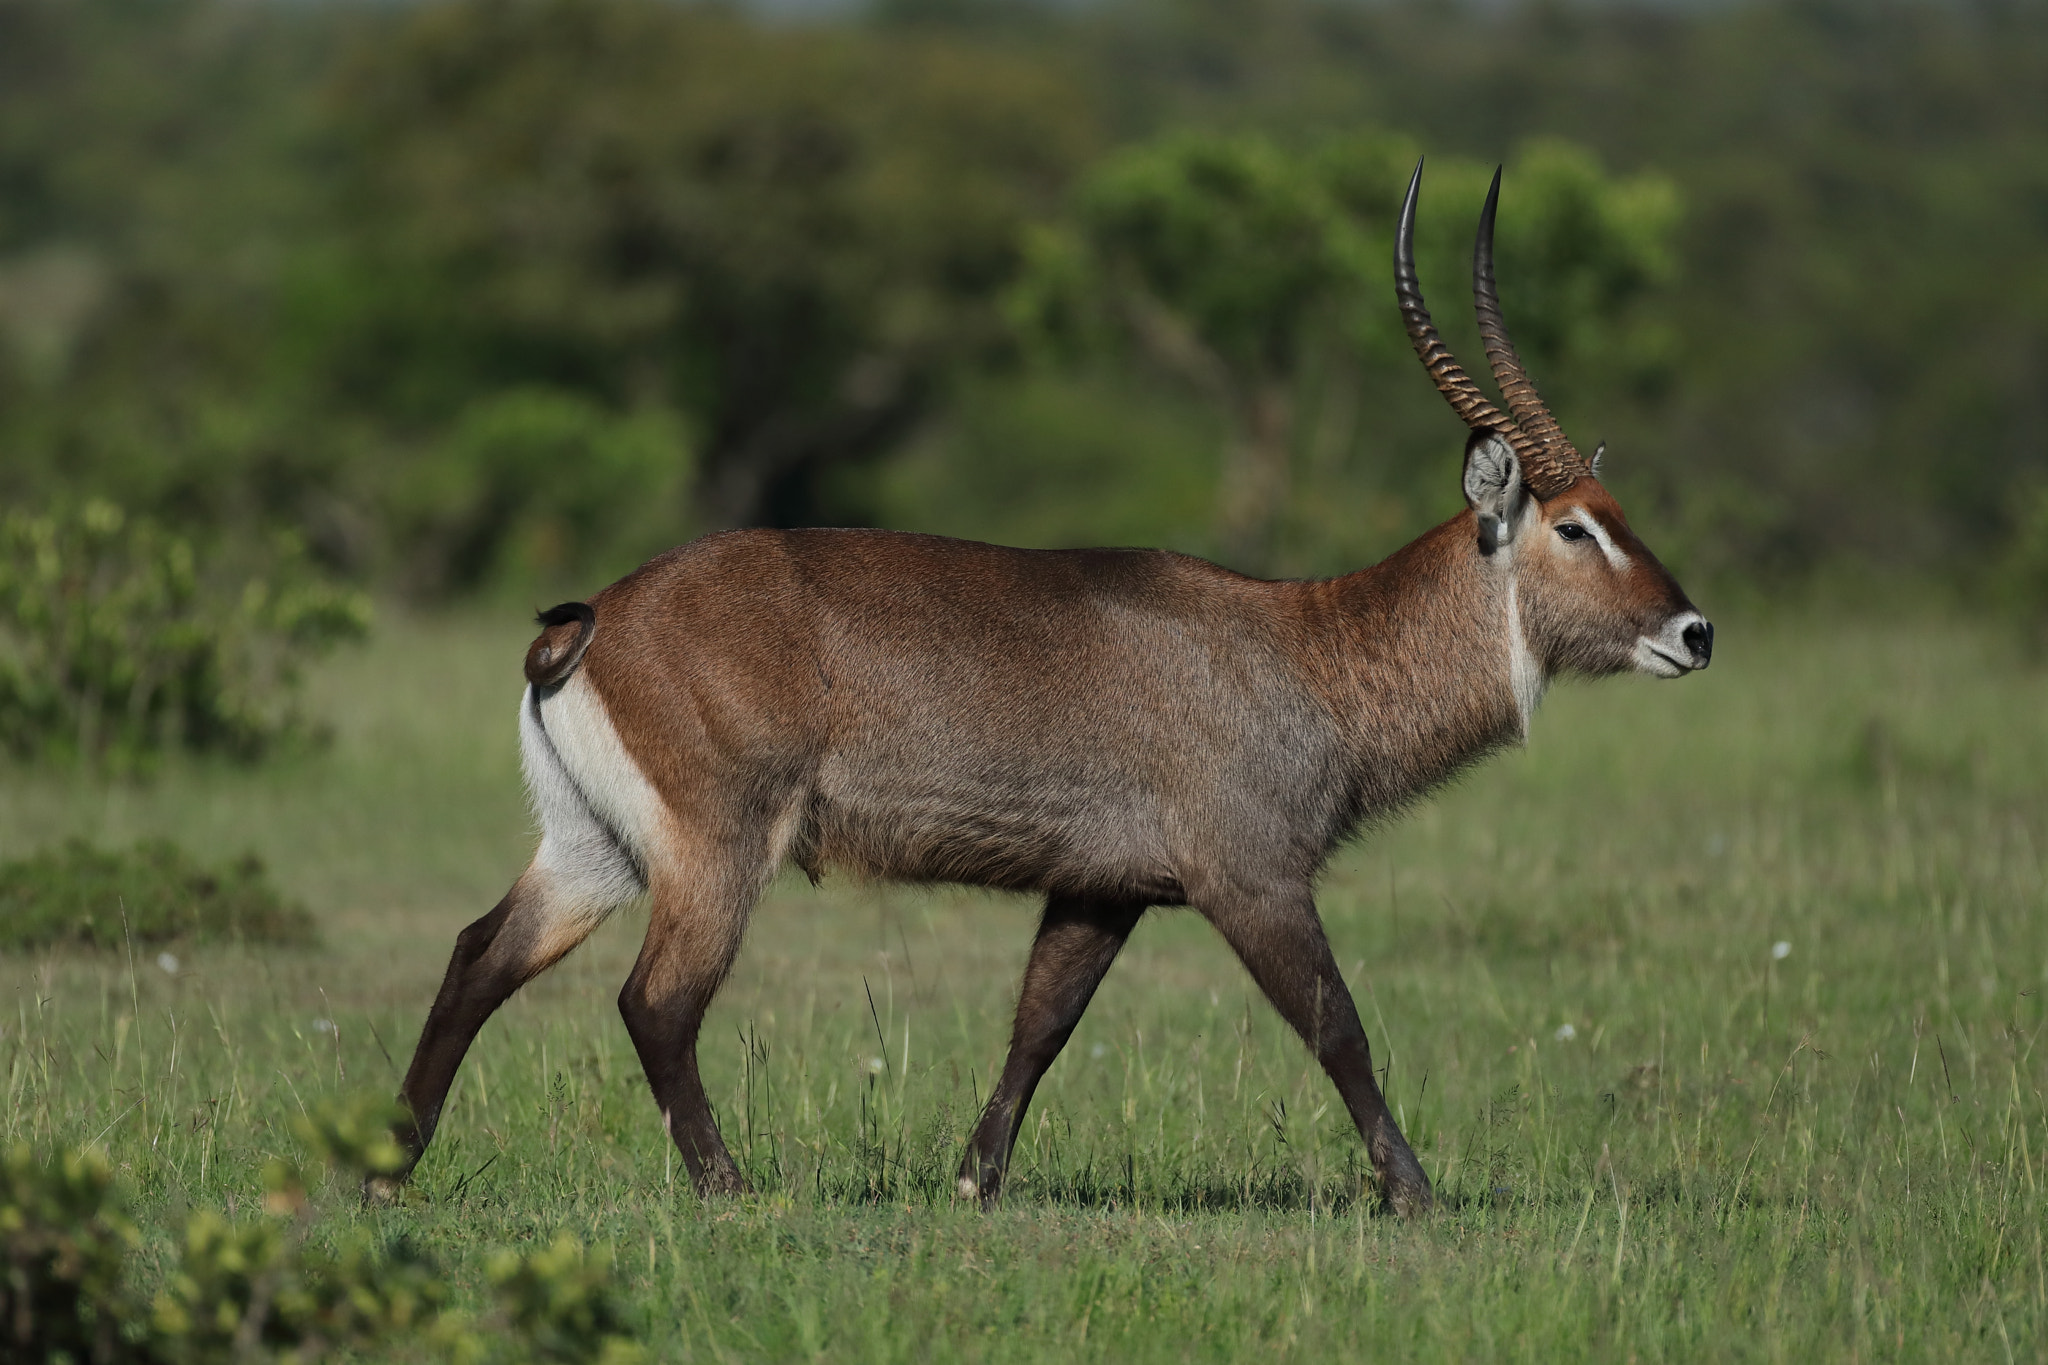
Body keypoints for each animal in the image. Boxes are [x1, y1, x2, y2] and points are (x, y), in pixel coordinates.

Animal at [372, 160, 1712, 1219]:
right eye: (1579, 527)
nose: (1693, 632)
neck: (1312, 645)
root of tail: (591, 616)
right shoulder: (1250, 876)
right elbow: (1337, 1024)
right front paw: (1415, 1196)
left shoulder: (1100, 889)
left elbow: (1039, 1028)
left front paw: (973, 1182)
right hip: (716, 846)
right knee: (655, 1002)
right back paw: (727, 1189)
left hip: (593, 845)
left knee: (480, 953)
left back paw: (390, 1171)